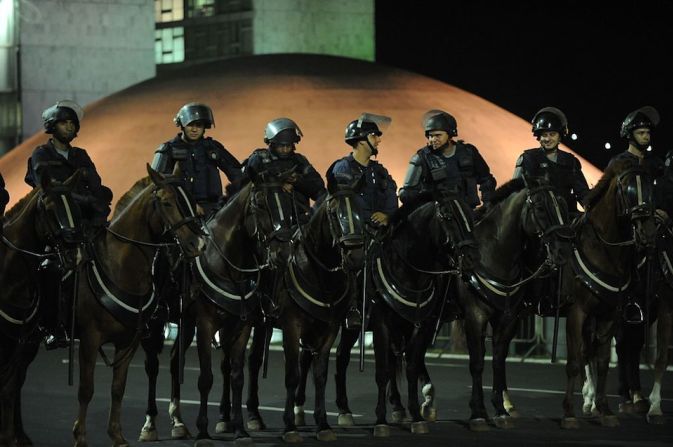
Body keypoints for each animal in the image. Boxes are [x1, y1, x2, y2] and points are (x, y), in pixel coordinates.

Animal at [0, 172, 86, 447]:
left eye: (76, 208)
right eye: (49, 209)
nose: (75, 254)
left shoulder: (20, 343)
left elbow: (9, 387)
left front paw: (9, 437)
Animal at [71, 167, 205, 447]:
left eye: (192, 202)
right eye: (166, 202)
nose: (197, 245)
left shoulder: (132, 339)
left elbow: (118, 388)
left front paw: (118, 435)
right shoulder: (90, 339)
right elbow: (87, 389)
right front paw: (80, 436)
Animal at [560, 161, 656, 430]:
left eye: (650, 187)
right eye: (628, 189)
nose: (648, 232)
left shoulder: (608, 315)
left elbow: (602, 362)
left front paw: (605, 408)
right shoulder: (576, 312)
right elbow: (573, 362)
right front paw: (569, 413)